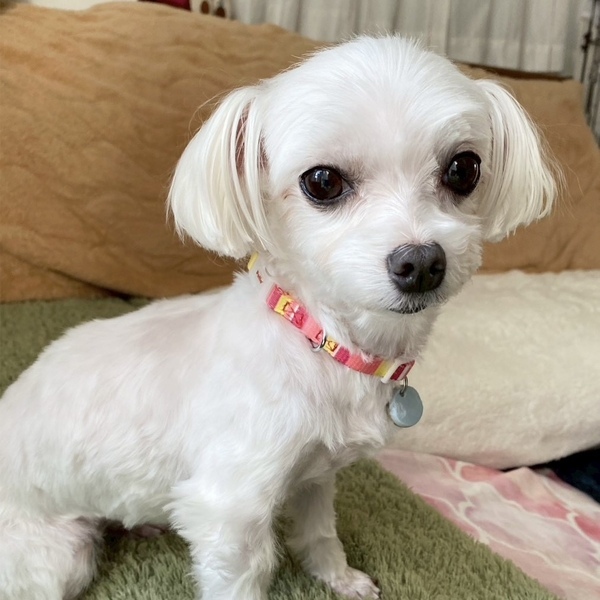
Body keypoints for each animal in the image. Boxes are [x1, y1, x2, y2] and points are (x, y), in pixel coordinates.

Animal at [0, 36, 555, 600]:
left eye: (464, 169)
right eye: (323, 181)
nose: (421, 263)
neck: (321, 341)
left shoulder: (316, 475)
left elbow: (320, 533)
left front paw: (339, 578)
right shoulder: (229, 510)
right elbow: (240, 575)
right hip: (56, 555)